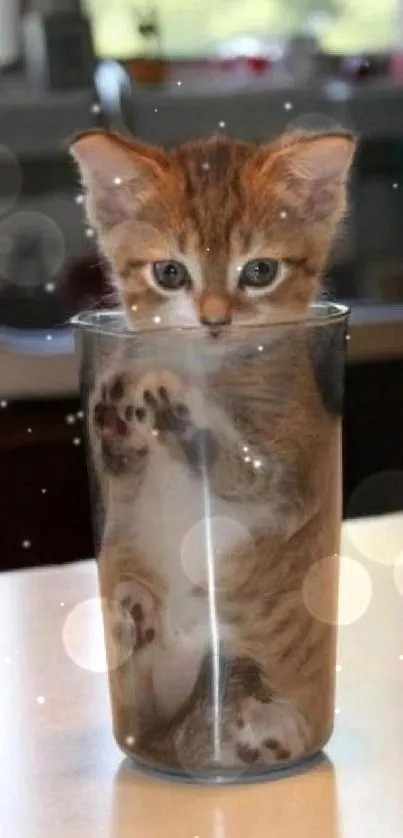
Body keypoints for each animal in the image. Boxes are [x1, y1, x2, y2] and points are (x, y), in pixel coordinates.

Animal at [71, 130, 356, 776]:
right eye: (170, 272)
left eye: (260, 271)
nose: (214, 320)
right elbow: (119, 468)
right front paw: (116, 416)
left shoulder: (287, 473)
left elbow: (238, 462)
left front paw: (177, 409)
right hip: (158, 688)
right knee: (154, 707)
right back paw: (135, 614)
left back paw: (262, 732)